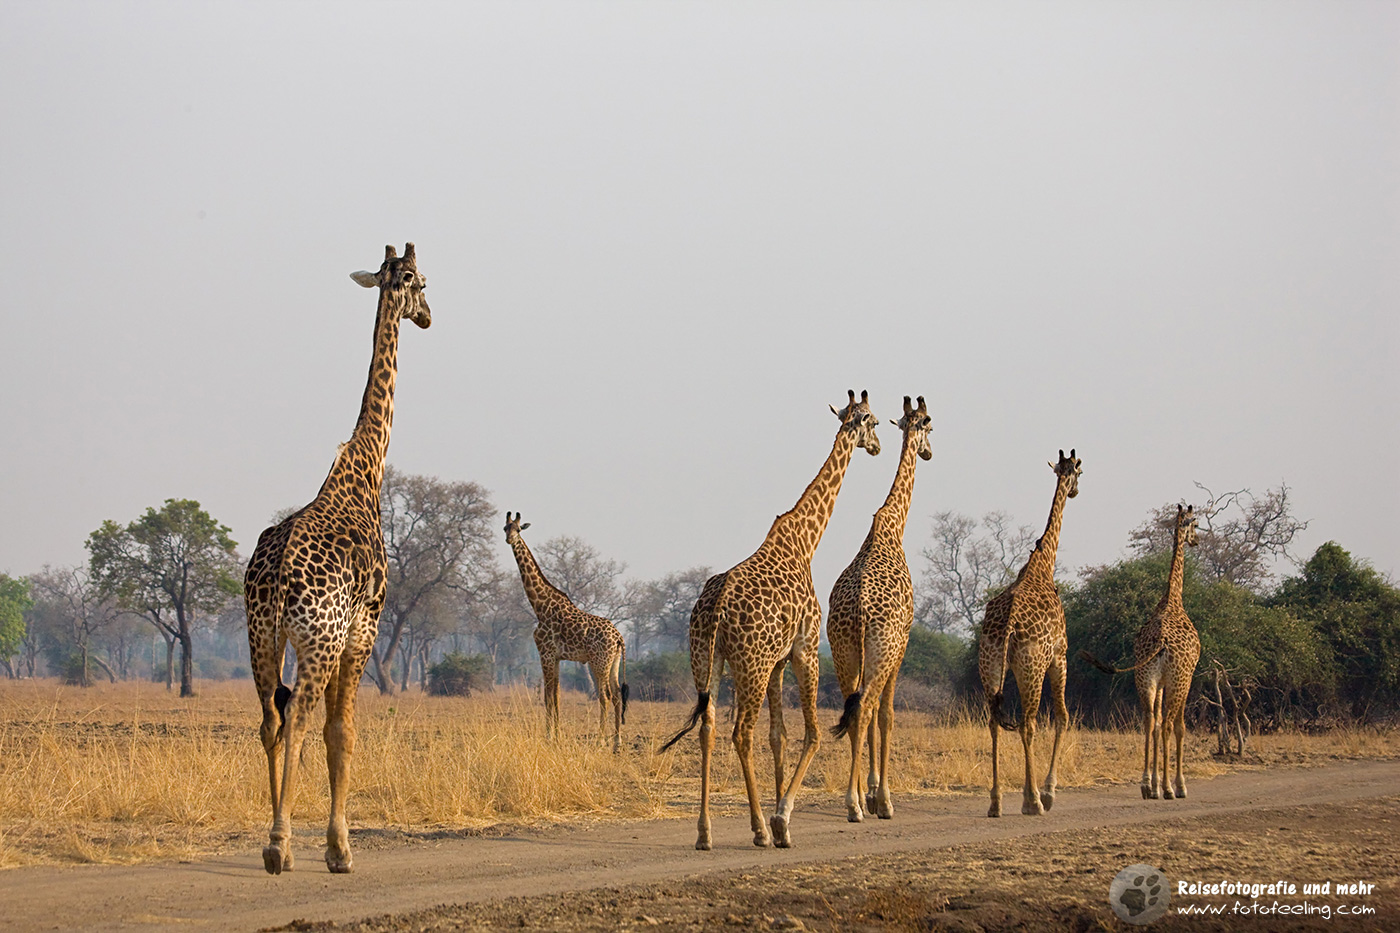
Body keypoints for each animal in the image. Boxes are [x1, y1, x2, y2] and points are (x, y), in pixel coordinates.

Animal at [244, 243, 430, 875]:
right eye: (422, 283)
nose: (429, 317)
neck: (367, 470)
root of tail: (275, 575)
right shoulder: (363, 629)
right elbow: (342, 732)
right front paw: (339, 848)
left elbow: (326, 731)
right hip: (318, 639)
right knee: (299, 718)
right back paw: (279, 845)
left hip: (262, 636)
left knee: (271, 719)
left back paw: (275, 841)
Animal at [504, 512, 629, 752]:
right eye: (506, 528)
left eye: (519, 529)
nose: (509, 540)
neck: (540, 606)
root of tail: (619, 638)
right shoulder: (557, 657)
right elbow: (557, 696)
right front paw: (557, 736)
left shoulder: (546, 653)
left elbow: (548, 696)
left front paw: (549, 737)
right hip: (612, 663)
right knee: (617, 695)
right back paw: (617, 743)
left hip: (599, 662)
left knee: (605, 696)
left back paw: (600, 740)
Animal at [663, 390, 881, 850]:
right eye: (872, 420)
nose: (876, 447)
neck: (806, 541)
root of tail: (717, 608)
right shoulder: (804, 649)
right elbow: (812, 733)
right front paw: (782, 820)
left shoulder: (779, 661)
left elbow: (778, 735)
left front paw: (781, 816)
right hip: (751, 664)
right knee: (740, 734)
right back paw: (761, 829)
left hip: (705, 659)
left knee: (709, 728)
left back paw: (705, 833)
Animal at [977, 448, 1082, 818]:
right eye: (1079, 472)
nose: (1075, 491)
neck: (1043, 564)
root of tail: (1008, 625)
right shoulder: (1061, 656)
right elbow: (1063, 717)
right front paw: (1049, 793)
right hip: (1031, 667)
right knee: (1030, 722)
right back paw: (1033, 800)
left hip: (990, 665)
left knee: (994, 721)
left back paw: (995, 803)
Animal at [1082, 505, 1201, 800]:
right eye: (1196, 524)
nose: (1196, 541)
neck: (1173, 599)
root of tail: (1160, 643)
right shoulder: (1187, 676)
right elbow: (1180, 727)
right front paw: (1178, 785)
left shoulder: (1158, 682)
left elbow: (1155, 724)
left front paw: (1154, 783)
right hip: (1176, 679)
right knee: (1168, 724)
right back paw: (1169, 788)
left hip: (1144, 678)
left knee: (1149, 721)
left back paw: (1148, 785)